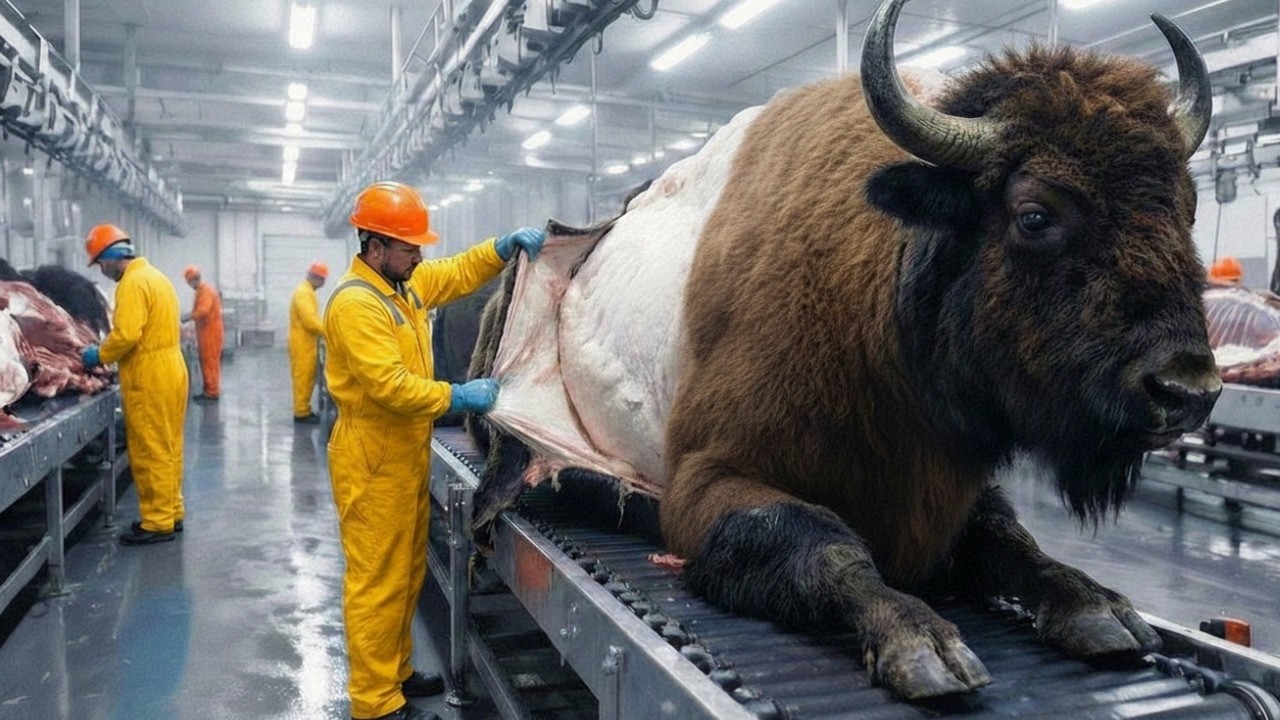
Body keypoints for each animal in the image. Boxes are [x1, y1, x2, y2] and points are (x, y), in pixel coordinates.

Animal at [469, 0, 1221, 700]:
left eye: (1186, 208)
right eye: (1035, 214)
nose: (1188, 389)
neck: (885, 277)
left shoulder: (954, 488)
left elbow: (1015, 544)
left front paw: (1100, 609)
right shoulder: (706, 483)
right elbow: (823, 544)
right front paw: (925, 646)